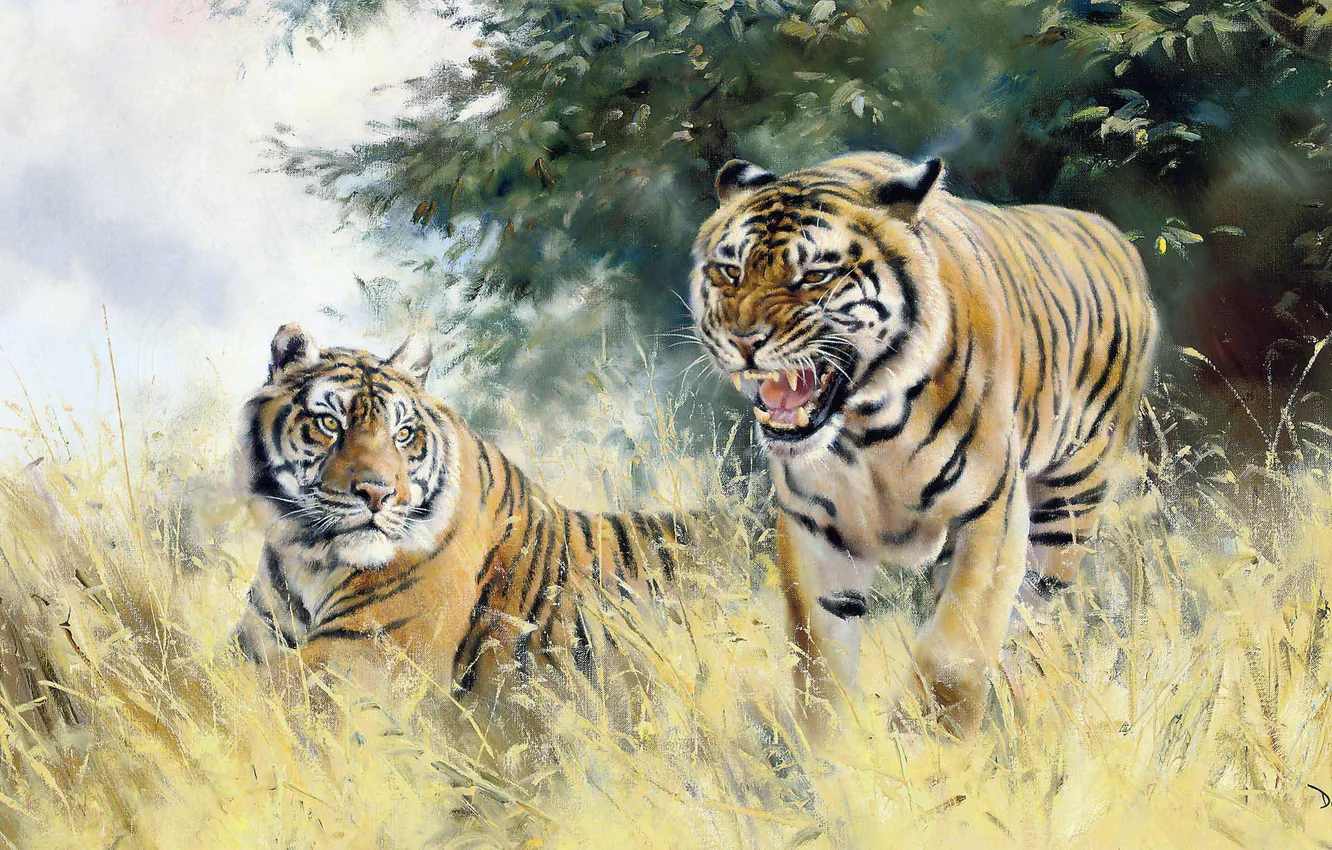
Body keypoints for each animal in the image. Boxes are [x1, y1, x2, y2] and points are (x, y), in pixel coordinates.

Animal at [232, 323, 712, 723]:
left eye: (403, 434)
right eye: (330, 423)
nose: (377, 494)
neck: (310, 559)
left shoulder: (363, 653)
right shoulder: (259, 643)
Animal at [689, 152, 1159, 735]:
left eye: (815, 275)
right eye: (730, 270)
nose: (744, 340)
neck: (865, 430)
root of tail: (1113, 235)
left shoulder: (990, 514)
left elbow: (952, 657)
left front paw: (927, 748)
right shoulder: (813, 524)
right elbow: (819, 663)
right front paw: (835, 752)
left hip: (1067, 510)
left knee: (1031, 630)